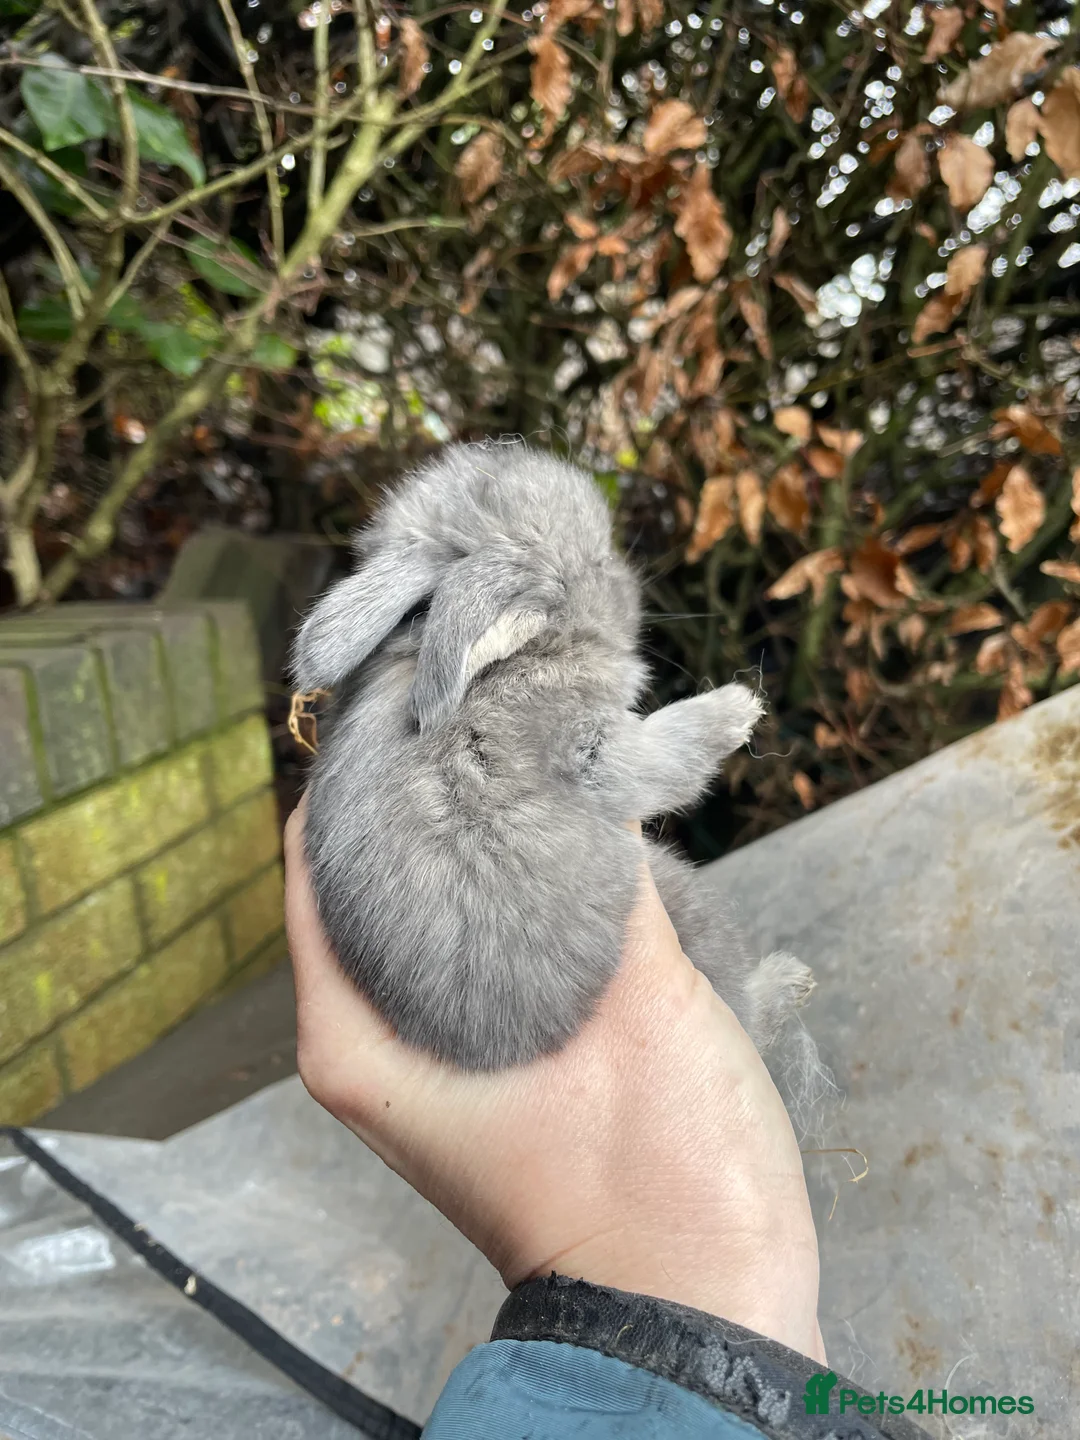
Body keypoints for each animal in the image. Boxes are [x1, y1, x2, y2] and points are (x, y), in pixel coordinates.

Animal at [291, 438, 822, 1104]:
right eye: (597, 561)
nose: (631, 583)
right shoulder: (594, 749)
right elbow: (665, 758)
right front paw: (740, 709)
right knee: (749, 1013)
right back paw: (791, 980)